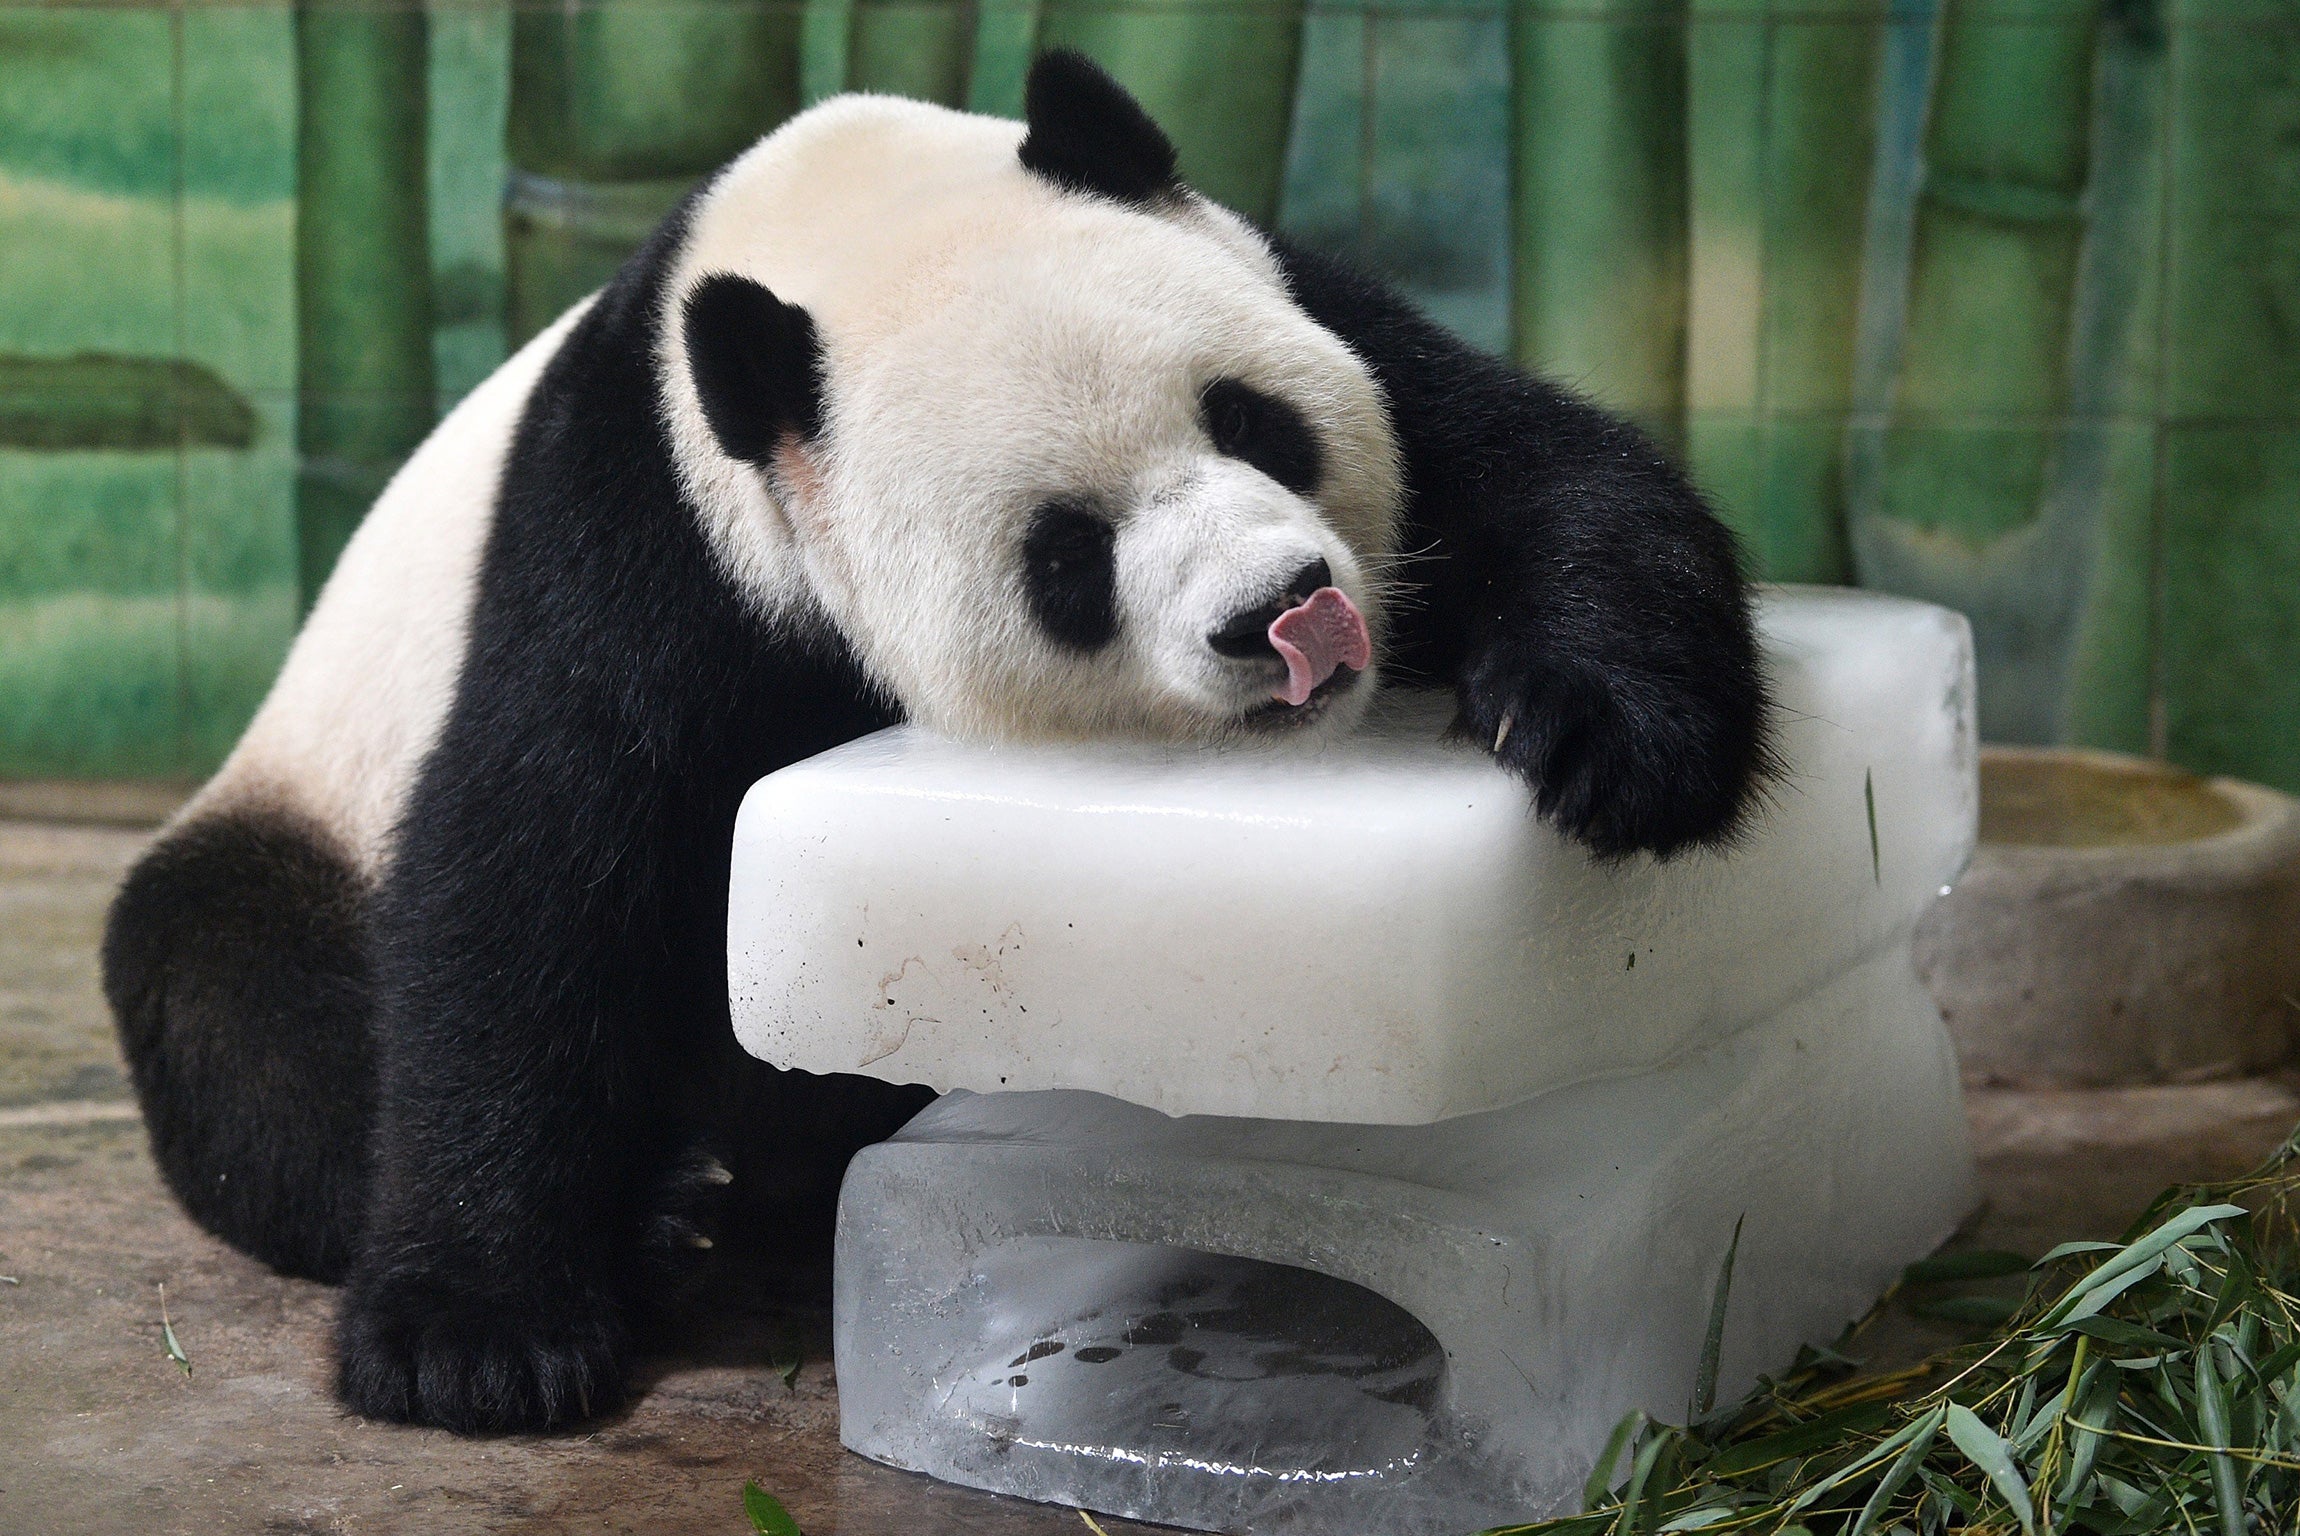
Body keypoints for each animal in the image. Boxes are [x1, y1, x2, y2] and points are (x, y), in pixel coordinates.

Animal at [98, 50, 1766, 1444]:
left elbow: (1530, 464)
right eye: (1068, 556)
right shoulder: (646, 531)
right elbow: (534, 864)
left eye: (1253, 423)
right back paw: (672, 1202)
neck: (831, 232)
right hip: (294, 803)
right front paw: (477, 1337)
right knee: (235, 1001)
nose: (1286, 615)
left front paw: (1612, 738)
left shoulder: (1313, 299)